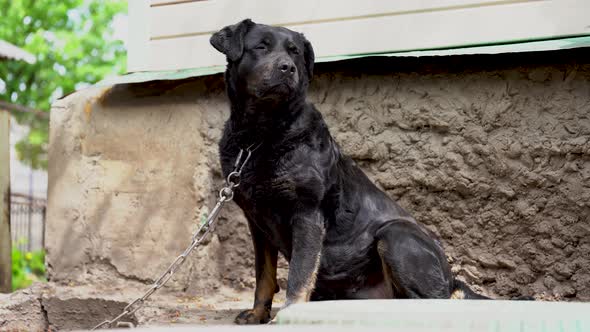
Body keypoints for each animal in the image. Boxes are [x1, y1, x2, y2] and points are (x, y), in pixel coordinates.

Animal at [213, 18, 490, 324]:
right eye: (261, 47)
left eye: (294, 52)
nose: (287, 67)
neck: (260, 136)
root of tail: (453, 281)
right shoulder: (257, 222)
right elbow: (264, 275)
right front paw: (257, 313)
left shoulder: (307, 212)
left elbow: (299, 272)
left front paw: (289, 314)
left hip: (396, 234)